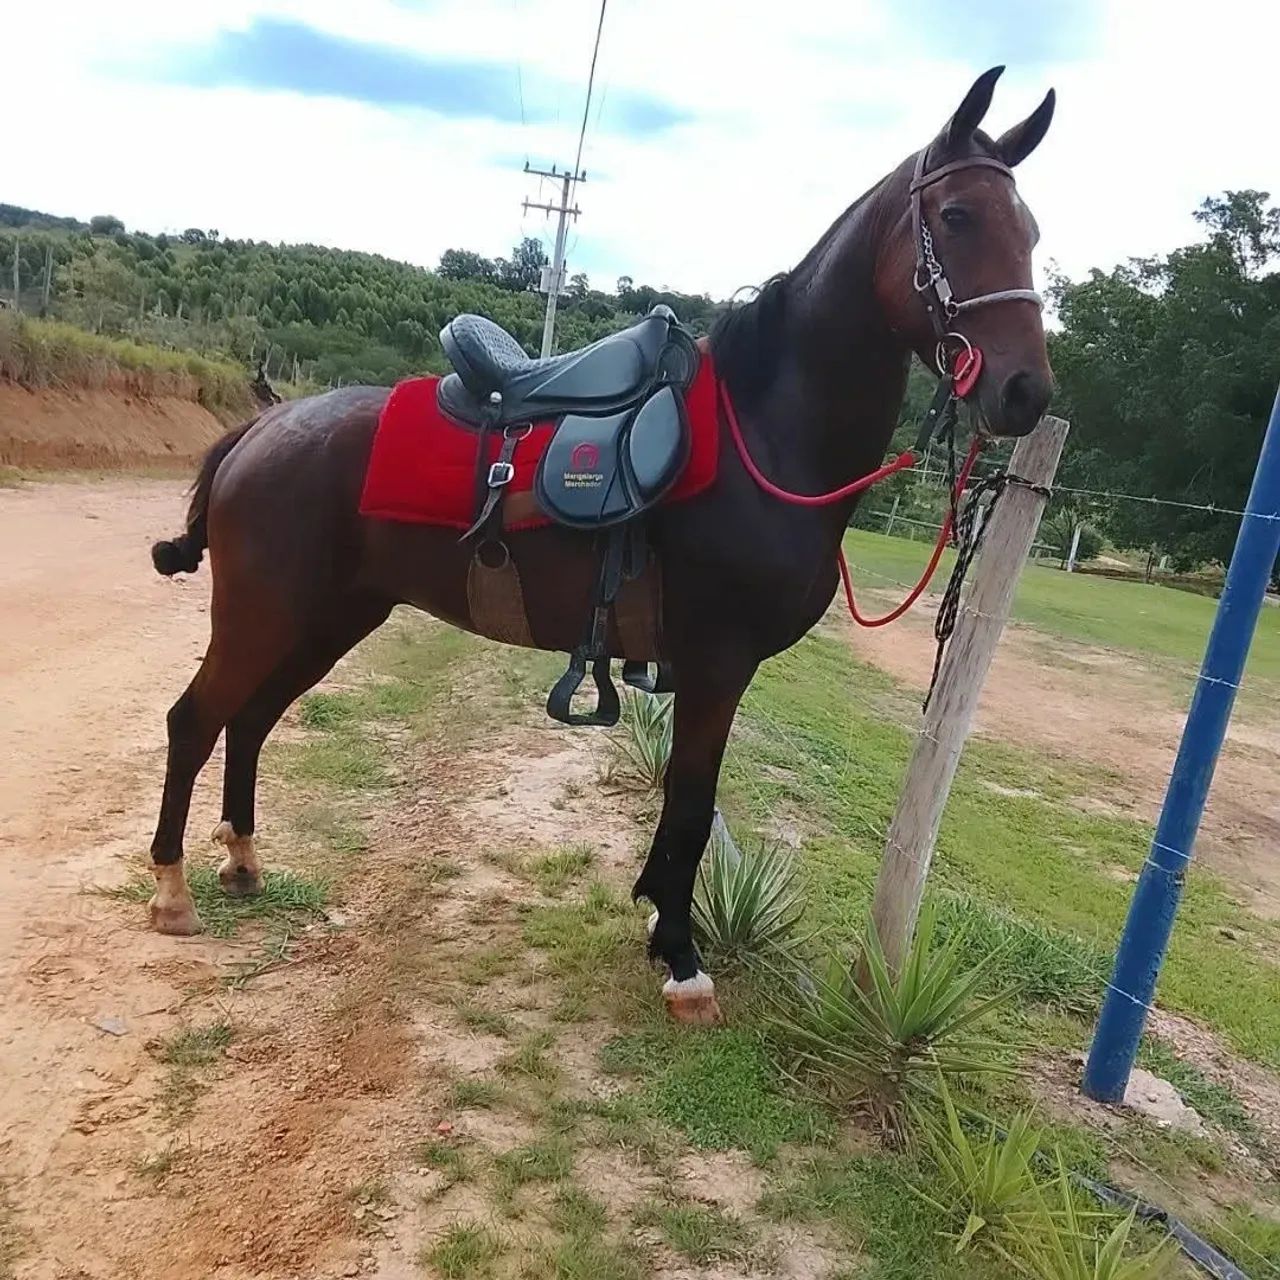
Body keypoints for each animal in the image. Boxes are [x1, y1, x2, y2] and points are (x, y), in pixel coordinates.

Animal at [146, 66, 1055, 1025]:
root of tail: (263, 426)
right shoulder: (719, 663)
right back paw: (172, 890)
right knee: (195, 721)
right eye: (957, 216)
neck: (764, 436)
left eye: (1031, 231)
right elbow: (690, 805)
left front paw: (660, 921)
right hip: (264, 616)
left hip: (325, 621)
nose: (1025, 390)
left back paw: (243, 862)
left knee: (250, 721)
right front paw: (684, 959)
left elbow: (685, 810)